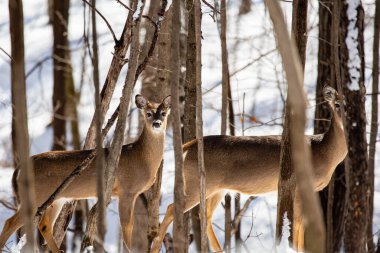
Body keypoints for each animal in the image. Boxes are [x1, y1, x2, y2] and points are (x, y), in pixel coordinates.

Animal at [0, 94, 171, 253]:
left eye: (163, 113)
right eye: (148, 113)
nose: (157, 124)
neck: (141, 158)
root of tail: (19, 168)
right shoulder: (127, 190)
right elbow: (127, 225)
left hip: (57, 198)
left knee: (44, 225)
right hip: (35, 195)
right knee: (10, 222)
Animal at [150, 86, 346, 252]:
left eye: (346, 104)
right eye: (337, 104)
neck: (322, 151)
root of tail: (189, 146)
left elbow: (301, 224)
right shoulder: (297, 186)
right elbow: (296, 222)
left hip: (215, 188)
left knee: (204, 214)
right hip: (195, 184)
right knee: (172, 208)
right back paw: (155, 246)